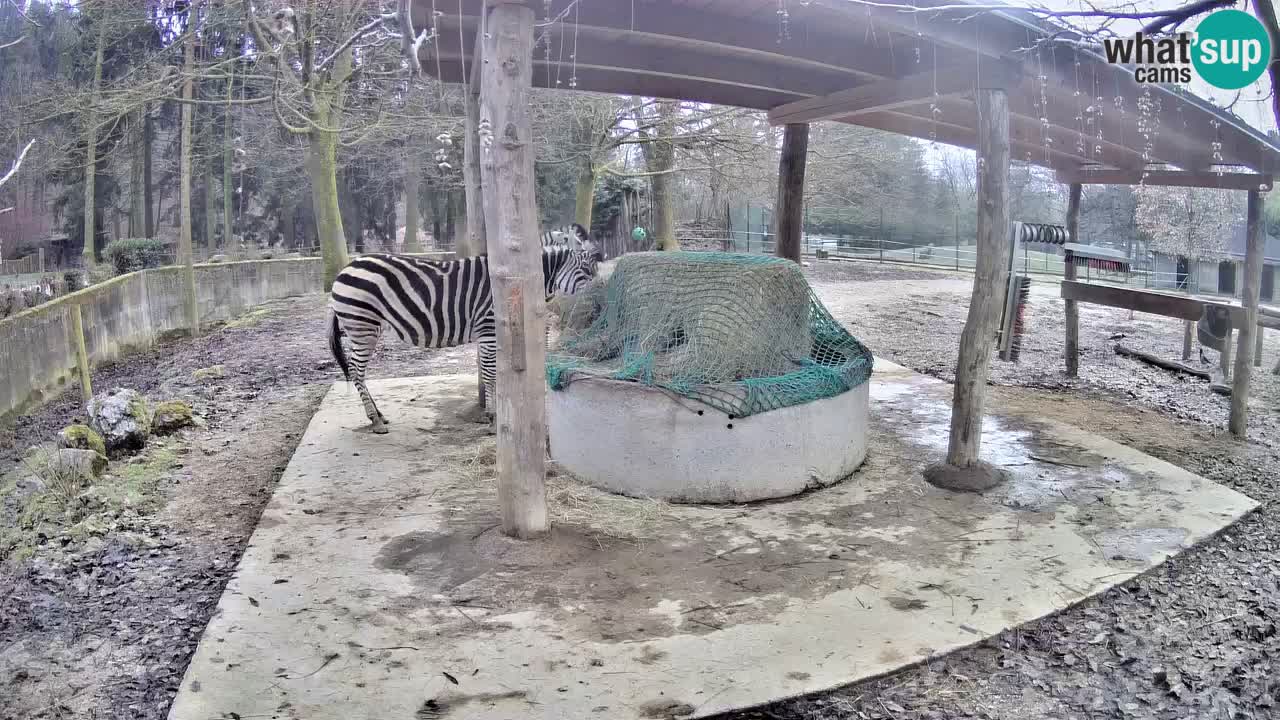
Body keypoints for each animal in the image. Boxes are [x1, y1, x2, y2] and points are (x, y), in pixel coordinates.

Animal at [325, 229, 593, 430]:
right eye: (587, 270)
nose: (594, 303)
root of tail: (346, 268)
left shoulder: (492, 333)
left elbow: (493, 371)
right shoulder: (488, 329)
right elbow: (490, 373)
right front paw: (492, 417)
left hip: (365, 327)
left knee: (357, 371)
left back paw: (378, 414)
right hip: (363, 325)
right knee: (356, 370)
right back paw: (375, 419)